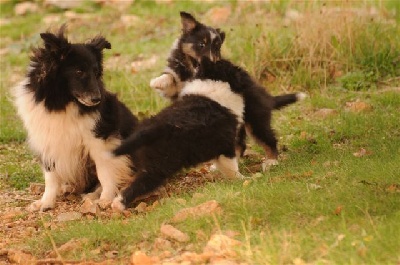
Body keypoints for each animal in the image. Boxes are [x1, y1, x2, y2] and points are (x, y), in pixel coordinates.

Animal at [13, 26, 139, 211]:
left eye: (96, 72)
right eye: (79, 71)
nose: (97, 99)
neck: (62, 102)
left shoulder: (99, 141)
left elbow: (104, 172)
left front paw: (105, 199)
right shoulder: (47, 142)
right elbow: (50, 178)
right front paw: (45, 203)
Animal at [111, 56, 245, 209]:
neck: (213, 86)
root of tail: (151, 128)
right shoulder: (225, 146)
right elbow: (231, 167)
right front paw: (241, 179)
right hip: (160, 165)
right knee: (140, 184)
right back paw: (119, 204)